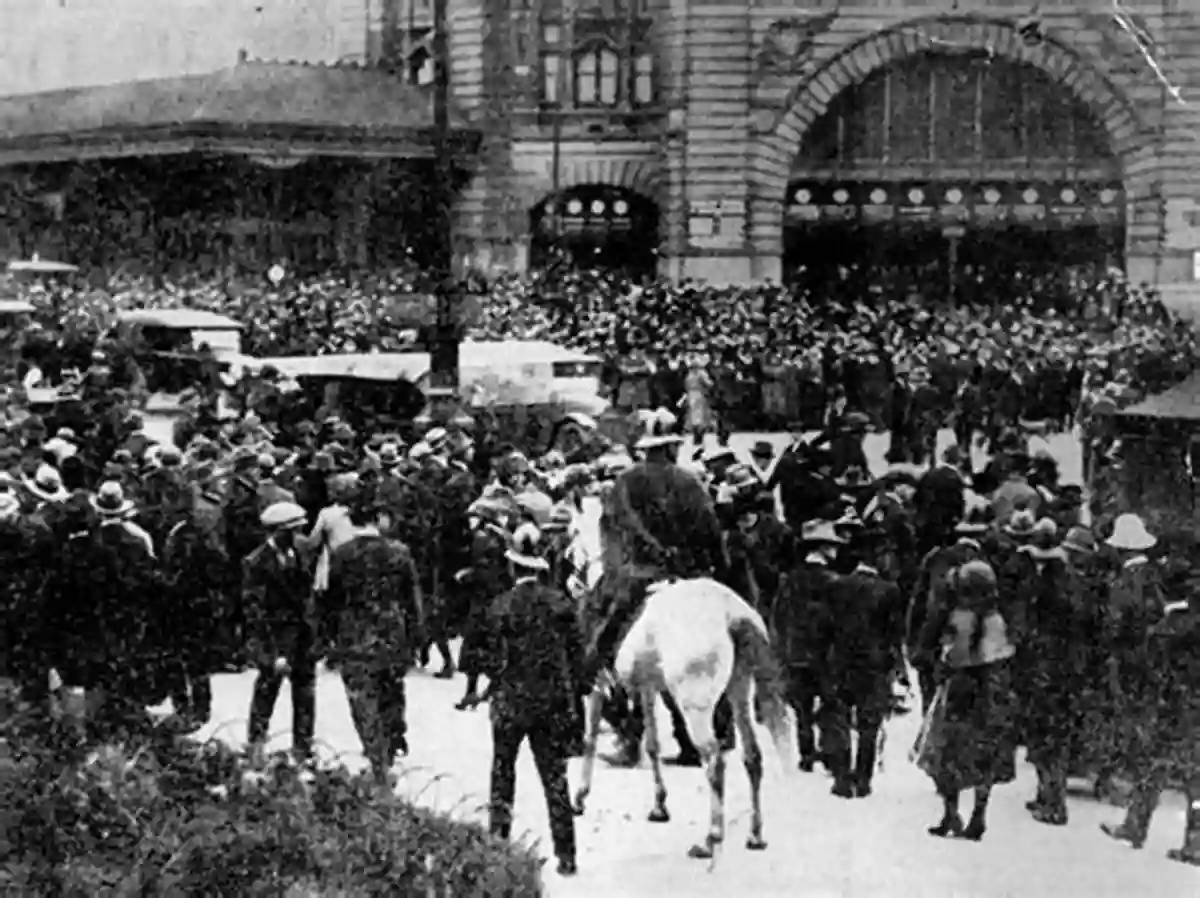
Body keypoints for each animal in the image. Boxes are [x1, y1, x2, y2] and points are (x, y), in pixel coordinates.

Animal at [571, 578, 796, 859]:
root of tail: (731, 614)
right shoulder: (647, 688)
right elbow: (652, 745)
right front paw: (659, 806)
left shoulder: (598, 687)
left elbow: (589, 739)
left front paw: (580, 796)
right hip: (740, 691)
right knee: (752, 756)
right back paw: (755, 835)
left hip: (695, 708)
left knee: (714, 761)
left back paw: (711, 838)